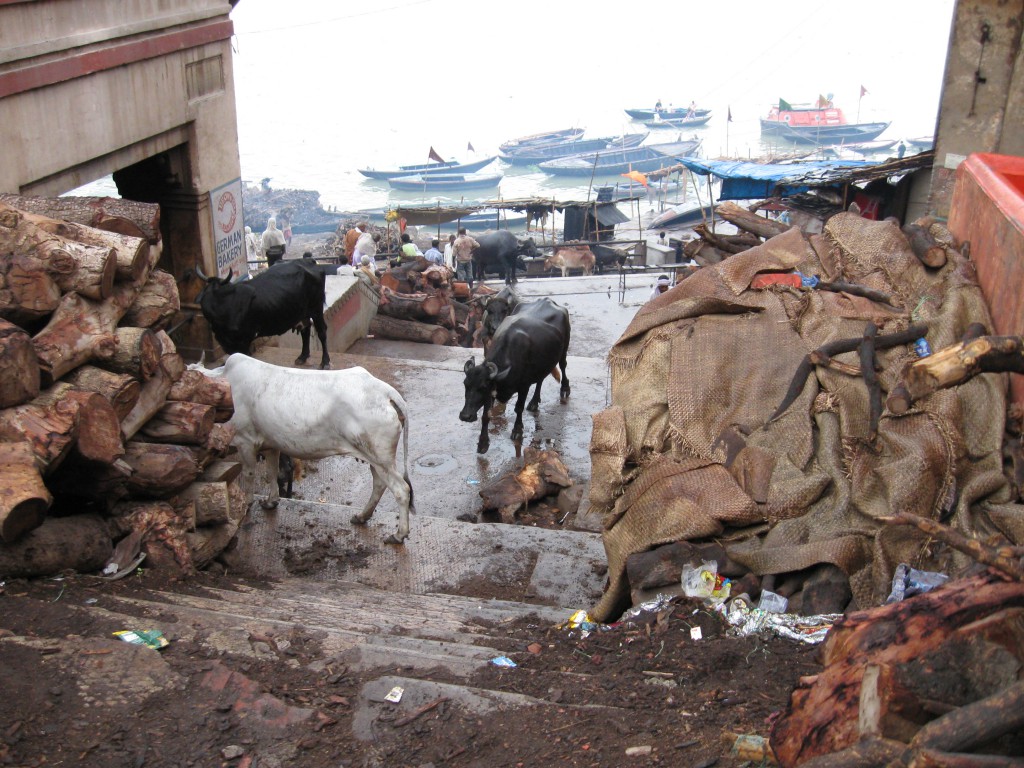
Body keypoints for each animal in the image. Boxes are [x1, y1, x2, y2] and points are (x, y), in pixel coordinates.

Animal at [190, 356, 413, 548]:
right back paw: (362, 516)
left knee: (401, 489)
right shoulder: (271, 444)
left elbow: (249, 475)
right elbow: (271, 473)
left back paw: (398, 534)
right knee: (380, 484)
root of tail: (386, 392)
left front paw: (247, 504)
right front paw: (271, 501)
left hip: (380, 458)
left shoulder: (245, 441)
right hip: (375, 458)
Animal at [193, 260, 329, 370]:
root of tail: (308, 261)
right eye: (206, 294)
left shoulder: (244, 340)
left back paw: (325, 362)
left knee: (322, 332)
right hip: (302, 312)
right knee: (305, 330)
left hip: (316, 308)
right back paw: (302, 357)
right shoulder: (226, 342)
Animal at [462, 294, 573, 454]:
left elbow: (518, 407)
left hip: (564, 348)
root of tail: (549, 301)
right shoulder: (492, 391)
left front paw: (517, 430)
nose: (465, 416)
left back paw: (564, 389)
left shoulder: (523, 386)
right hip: (543, 363)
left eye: (482, 387)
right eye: (465, 385)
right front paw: (483, 443)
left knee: (563, 365)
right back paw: (534, 402)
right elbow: (485, 415)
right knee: (540, 379)